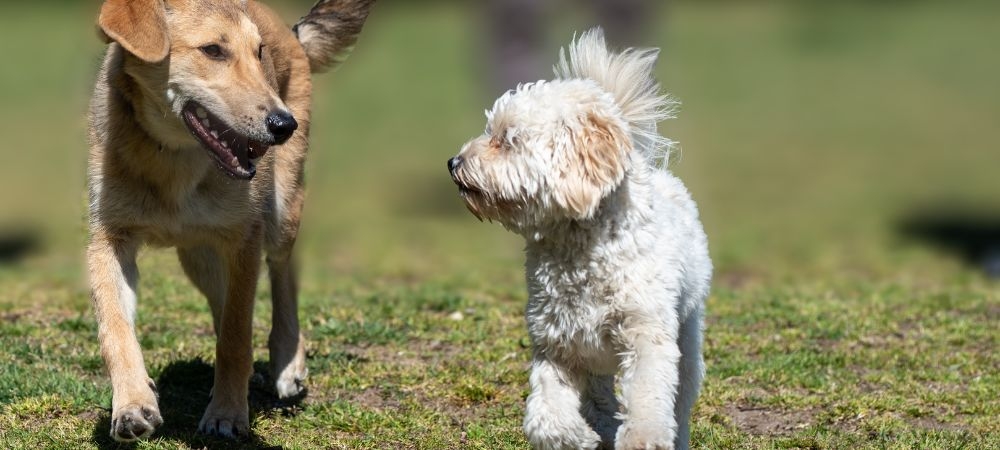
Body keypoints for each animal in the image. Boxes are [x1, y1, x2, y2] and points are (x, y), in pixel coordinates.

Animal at [86, 0, 374, 442]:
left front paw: (227, 413)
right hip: (198, 256)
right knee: (223, 299)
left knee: (283, 274)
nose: (283, 124)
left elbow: (237, 336)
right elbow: (115, 329)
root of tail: (293, 32)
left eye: (259, 52)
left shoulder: (244, 238)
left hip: (281, 213)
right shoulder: (108, 239)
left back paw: (287, 363)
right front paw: (133, 404)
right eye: (213, 51)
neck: (172, 160)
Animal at [446, 29, 712, 450]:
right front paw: (579, 436)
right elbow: (546, 418)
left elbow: (648, 401)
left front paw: (639, 437)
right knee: (600, 395)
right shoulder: (557, 344)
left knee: (680, 401)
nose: (453, 163)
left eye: (507, 139)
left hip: (686, 335)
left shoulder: (646, 336)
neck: (579, 248)